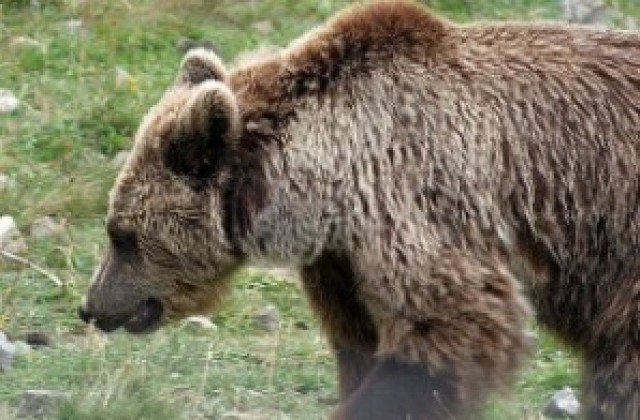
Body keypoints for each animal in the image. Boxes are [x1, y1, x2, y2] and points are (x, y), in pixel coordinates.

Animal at [79, 1, 640, 418]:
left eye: (120, 234)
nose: (91, 306)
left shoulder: (410, 196)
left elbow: (450, 324)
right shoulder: (342, 262)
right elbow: (359, 343)